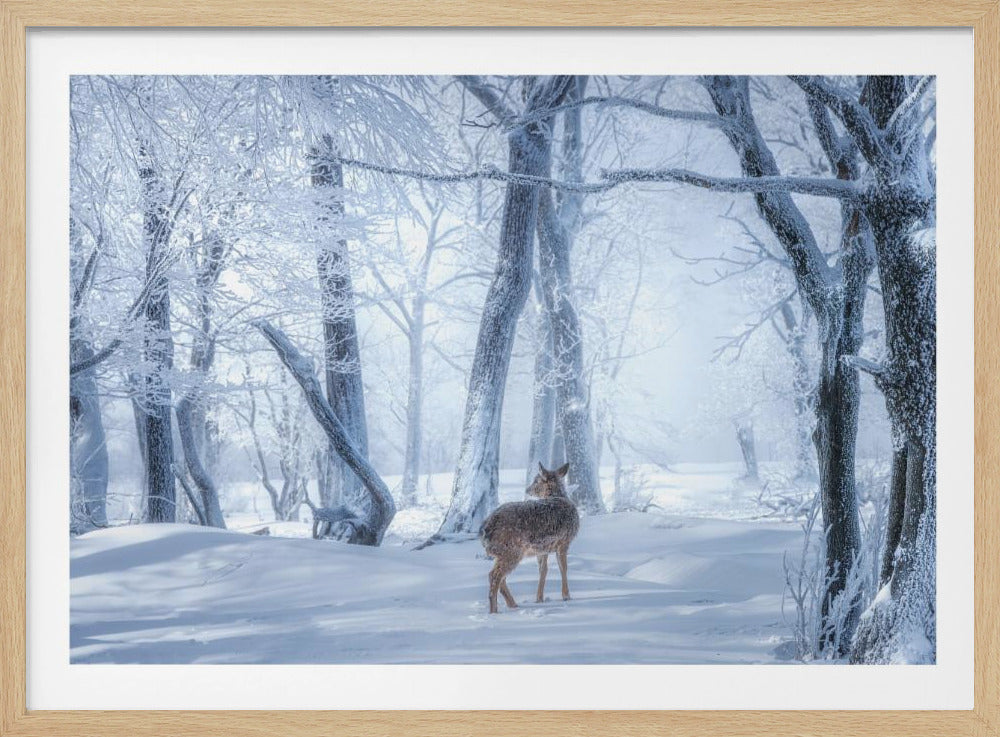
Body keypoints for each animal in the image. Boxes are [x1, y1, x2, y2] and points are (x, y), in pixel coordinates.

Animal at [479, 462, 580, 614]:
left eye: (536, 480)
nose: (527, 489)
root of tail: (485, 530)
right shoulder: (564, 541)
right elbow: (563, 568)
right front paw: (566, 596)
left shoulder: (543, 549)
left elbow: (543, 571)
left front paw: (539, 599)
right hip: (511, 550)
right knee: (494, 575)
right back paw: (494, 611)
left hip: (503, 552)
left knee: (500, 577)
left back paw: (513, 605)